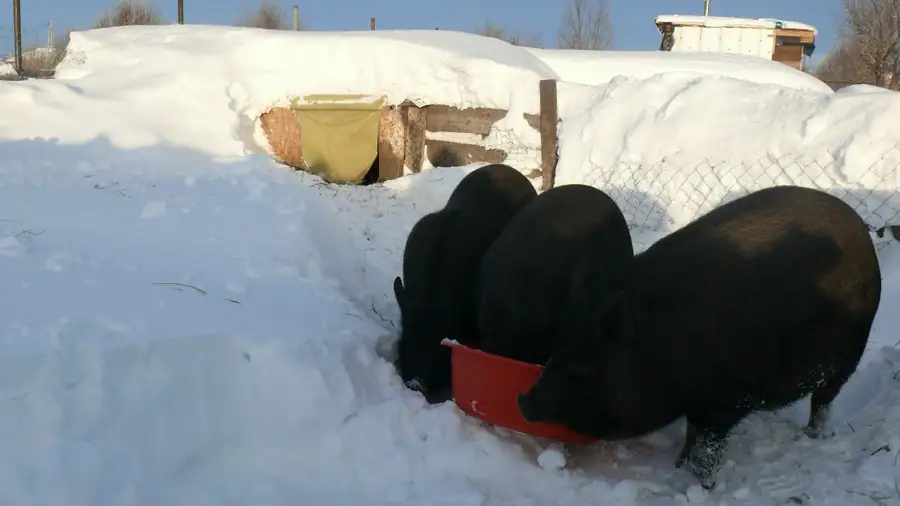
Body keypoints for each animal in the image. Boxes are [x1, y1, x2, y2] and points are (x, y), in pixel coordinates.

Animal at [517, 185, 882, 490]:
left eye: (582, 367)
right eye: (554, 353)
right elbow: (691, 433)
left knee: (824, 399)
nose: (523, 401)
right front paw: (678, 465)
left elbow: (707, 446)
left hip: (850, 355)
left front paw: (702, 485)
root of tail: (860, 227)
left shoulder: (728, 399)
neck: (661, 346)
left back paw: (816, 436)